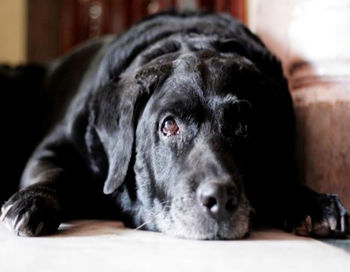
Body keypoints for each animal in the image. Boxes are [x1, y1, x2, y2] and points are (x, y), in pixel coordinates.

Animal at [0, 11, 348, 239]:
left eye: (244, 127)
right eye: (168, 126)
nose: (220, 199)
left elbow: (283, 176)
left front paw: (312, 202)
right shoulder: (56, 146)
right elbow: (53, 172)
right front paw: (33, 201)